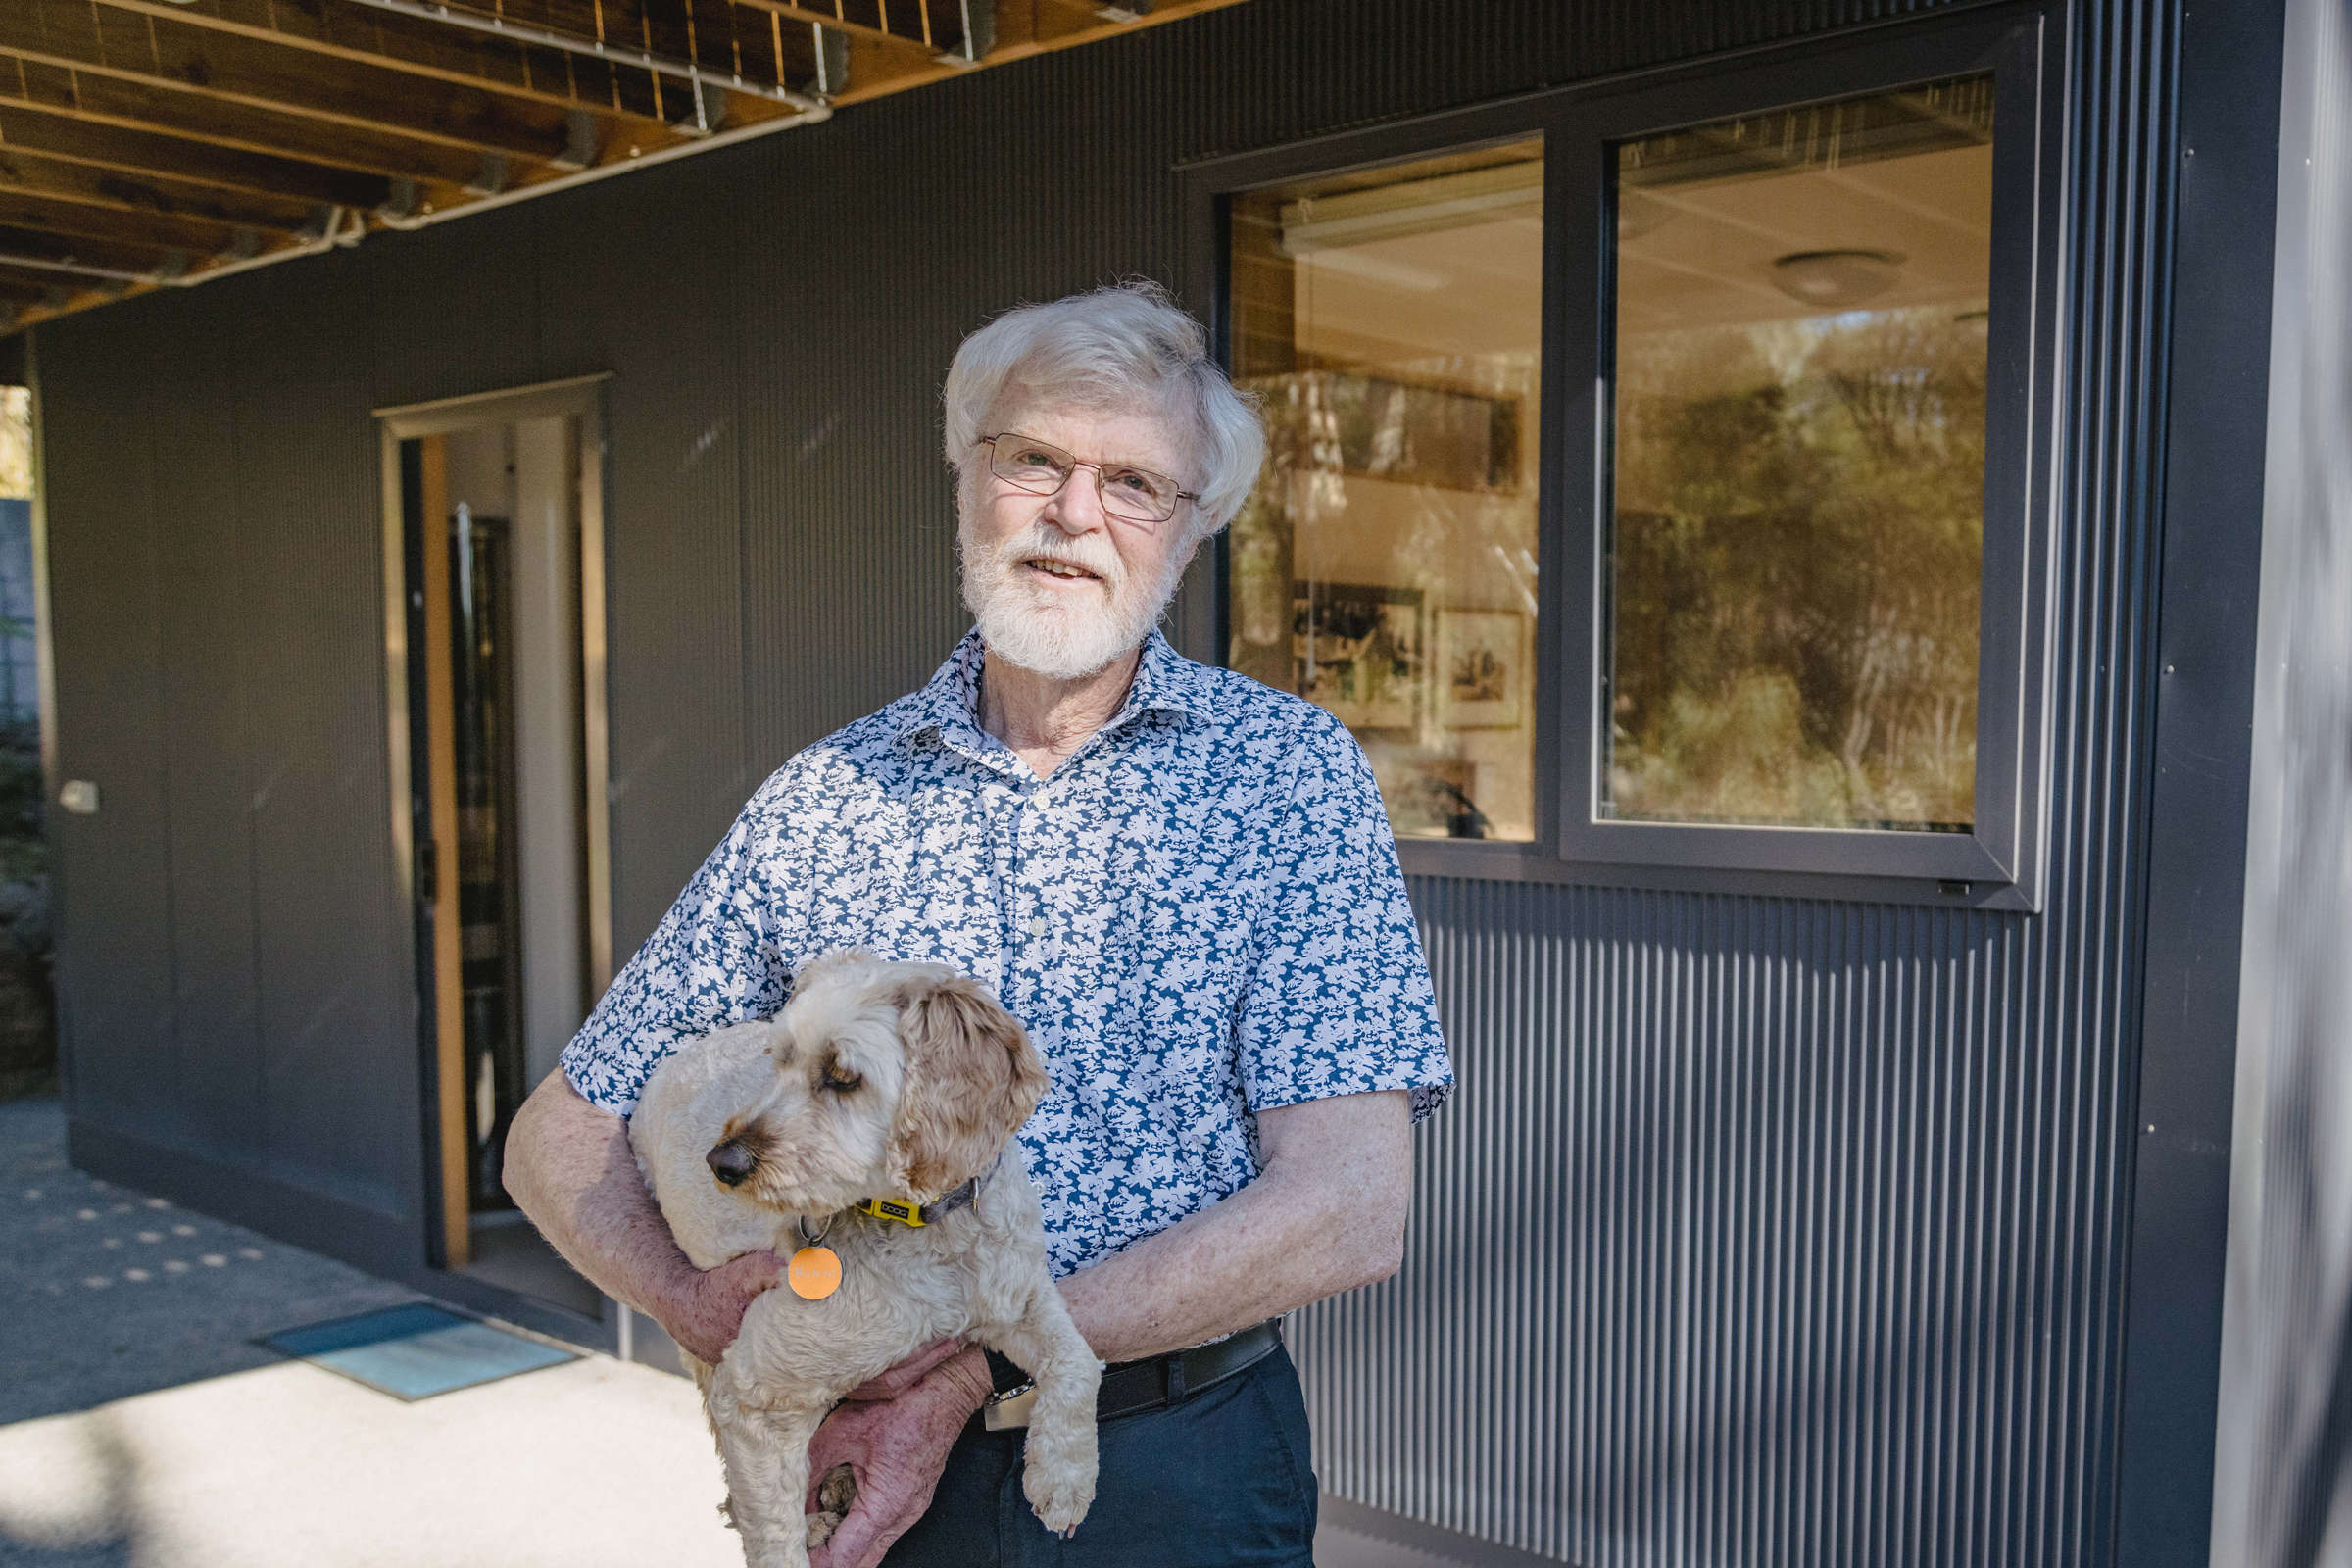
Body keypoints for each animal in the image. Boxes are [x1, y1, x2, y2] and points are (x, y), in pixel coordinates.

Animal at [625, 950, 1101, 1560]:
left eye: (842, 1078)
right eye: (777, 1062)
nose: (722, 1163)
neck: (930, 1230)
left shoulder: (1018, 1296)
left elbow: (1080, 1361)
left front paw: (1064, 1478)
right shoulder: (754, 1397)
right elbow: (773, 1536)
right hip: (703, 1350)